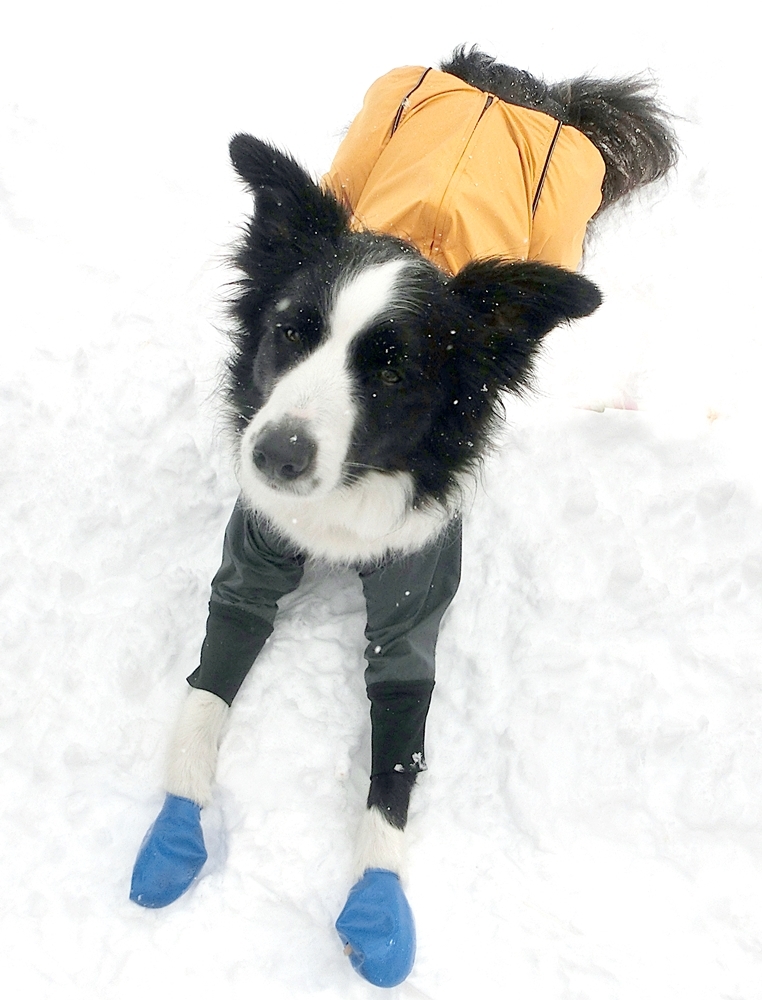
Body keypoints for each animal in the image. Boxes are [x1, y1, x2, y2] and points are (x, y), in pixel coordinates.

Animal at [131, 45, 676, 984]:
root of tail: (510, 76)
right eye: (290, 331)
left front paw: (377, 902)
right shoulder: (251, 558)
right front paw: (173, 831)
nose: (274, 455)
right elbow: (205, 695)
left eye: (390, 369)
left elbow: (396, 764)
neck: (347, 497)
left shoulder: (415, 602)